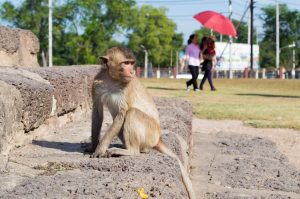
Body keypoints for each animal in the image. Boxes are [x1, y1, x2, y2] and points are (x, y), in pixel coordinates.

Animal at [89, 46, 197, 199]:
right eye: (125, 63)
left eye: (131, 63)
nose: (132, 71)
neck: (111, 79)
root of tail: (158, 138)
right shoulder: (96, 84)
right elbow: (97, 113)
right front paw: (93, 145)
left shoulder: (126, 88)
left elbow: (121, 115)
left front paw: (100, 149)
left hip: (150, 133)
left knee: (132, 113)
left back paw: (131, 151)